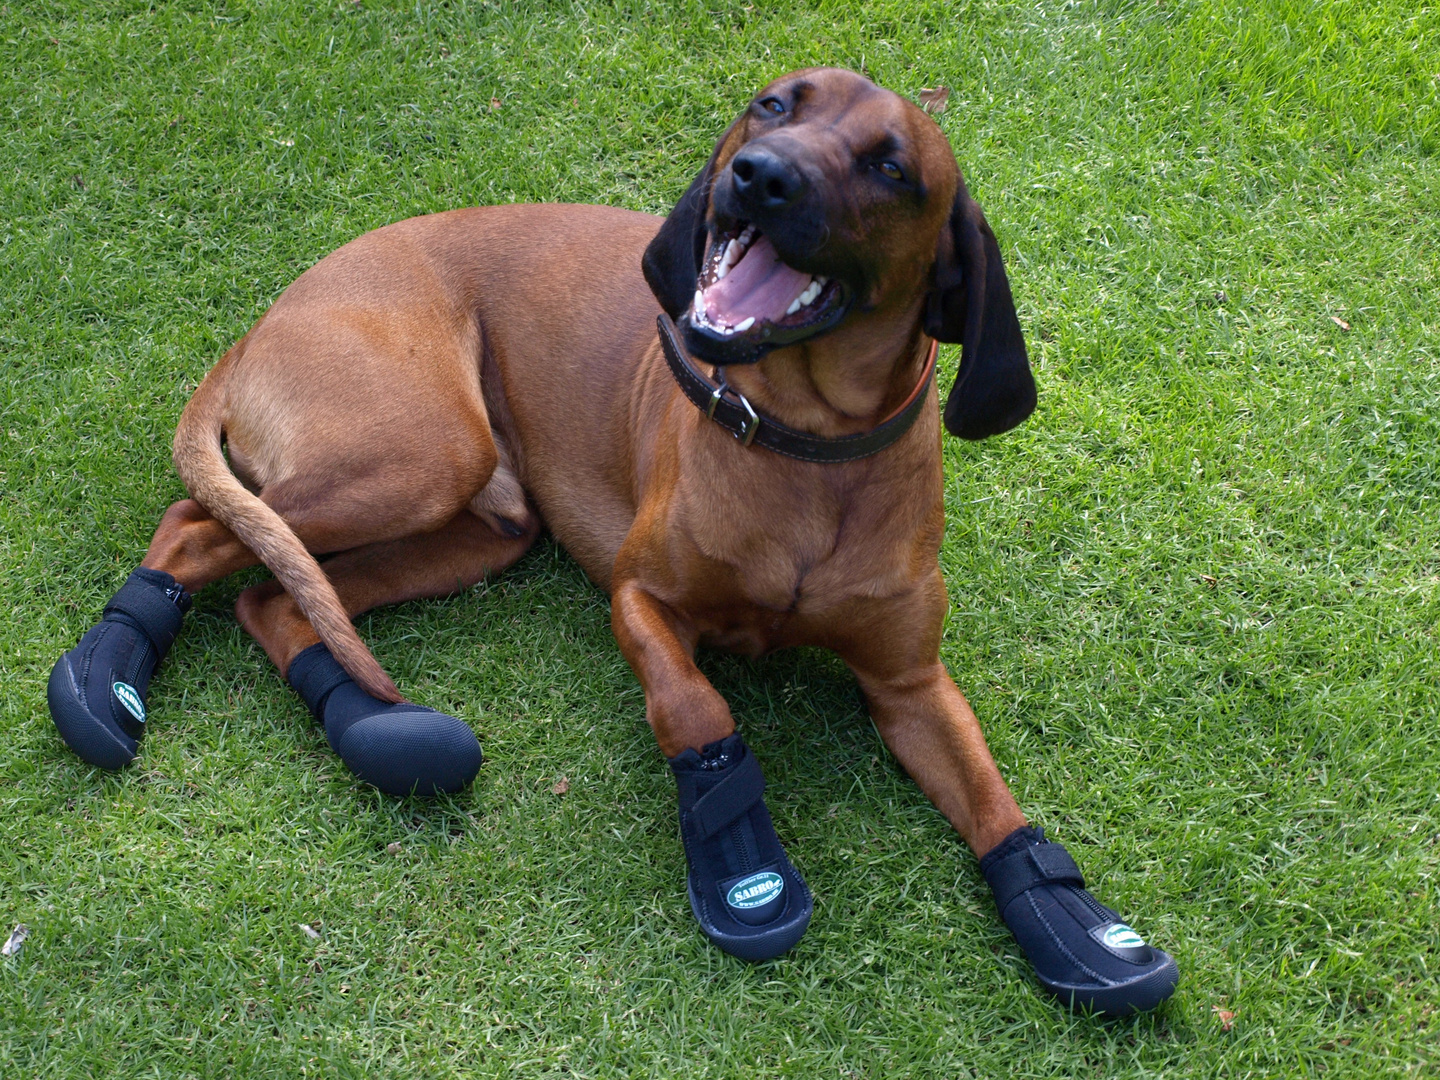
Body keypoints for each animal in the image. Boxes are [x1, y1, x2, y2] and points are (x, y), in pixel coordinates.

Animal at [50, 67, 1180, 1013]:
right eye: (776, 103)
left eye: (893, 166)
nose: (757, 176)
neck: (807, 453)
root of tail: (261, 323)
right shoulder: (641, 601)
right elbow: (697, 708)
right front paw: (742, 864)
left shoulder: (910, 682)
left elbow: (992, 798)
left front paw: (1076, 926)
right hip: (422, 454)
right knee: (196, 526)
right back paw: (104, 681)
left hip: (480, 526)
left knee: (275, 593)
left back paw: (379, 732)